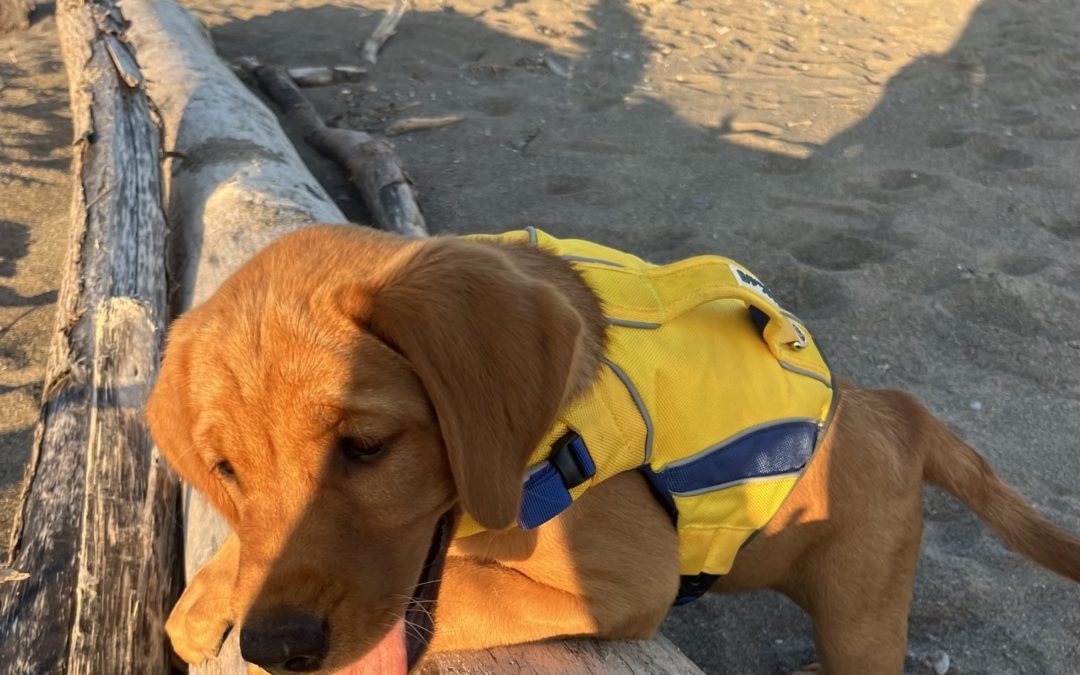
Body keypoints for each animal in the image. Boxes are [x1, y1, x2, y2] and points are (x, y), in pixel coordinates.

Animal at [150, 224, 1080, 673]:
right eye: (225, 470)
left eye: (367, 445)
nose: (277, 648)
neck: (542, 444)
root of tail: (890, 407)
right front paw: (205, 600)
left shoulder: (628, 580)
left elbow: (451, 597)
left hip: (862, 608)